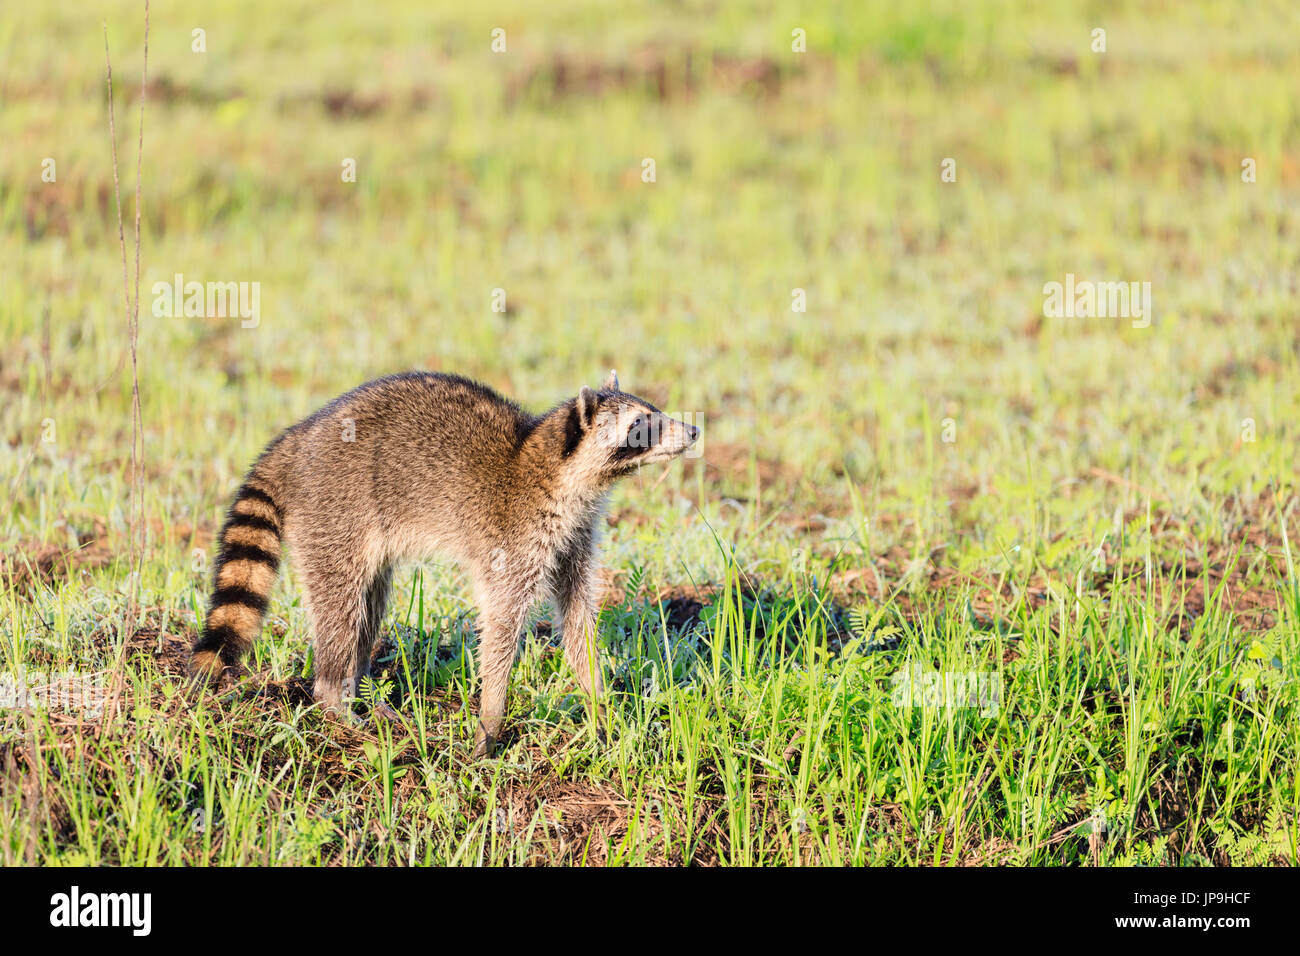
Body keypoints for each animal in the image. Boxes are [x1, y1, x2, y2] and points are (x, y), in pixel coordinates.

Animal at [188, 369, 696, 759]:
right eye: (642, 423)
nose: (692, 431)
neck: (560, 471)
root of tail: (296, 438)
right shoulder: (517, 539)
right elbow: (501, 625)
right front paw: (491, 721)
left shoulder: (575, 537)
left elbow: (576, 617)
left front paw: (597, 705)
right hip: (333, 510)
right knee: (341, 603)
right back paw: (335, 698)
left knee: (368, 602)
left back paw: (359, 689)